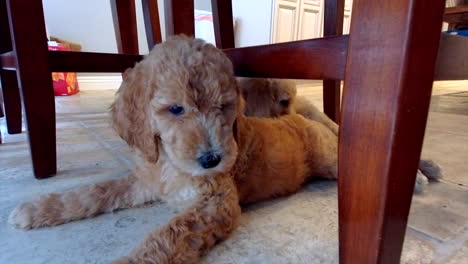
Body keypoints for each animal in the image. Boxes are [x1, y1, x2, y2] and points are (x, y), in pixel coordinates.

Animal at [9, 36, 338, 262]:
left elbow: (169, 235)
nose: (212, 159)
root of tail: (300, 115)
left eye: (223, 107)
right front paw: (38, 208)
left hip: (328, 157)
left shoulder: (215, 204)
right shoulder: (146, 183)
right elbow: (96, 191)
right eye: (176, 109)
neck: (168, 161)